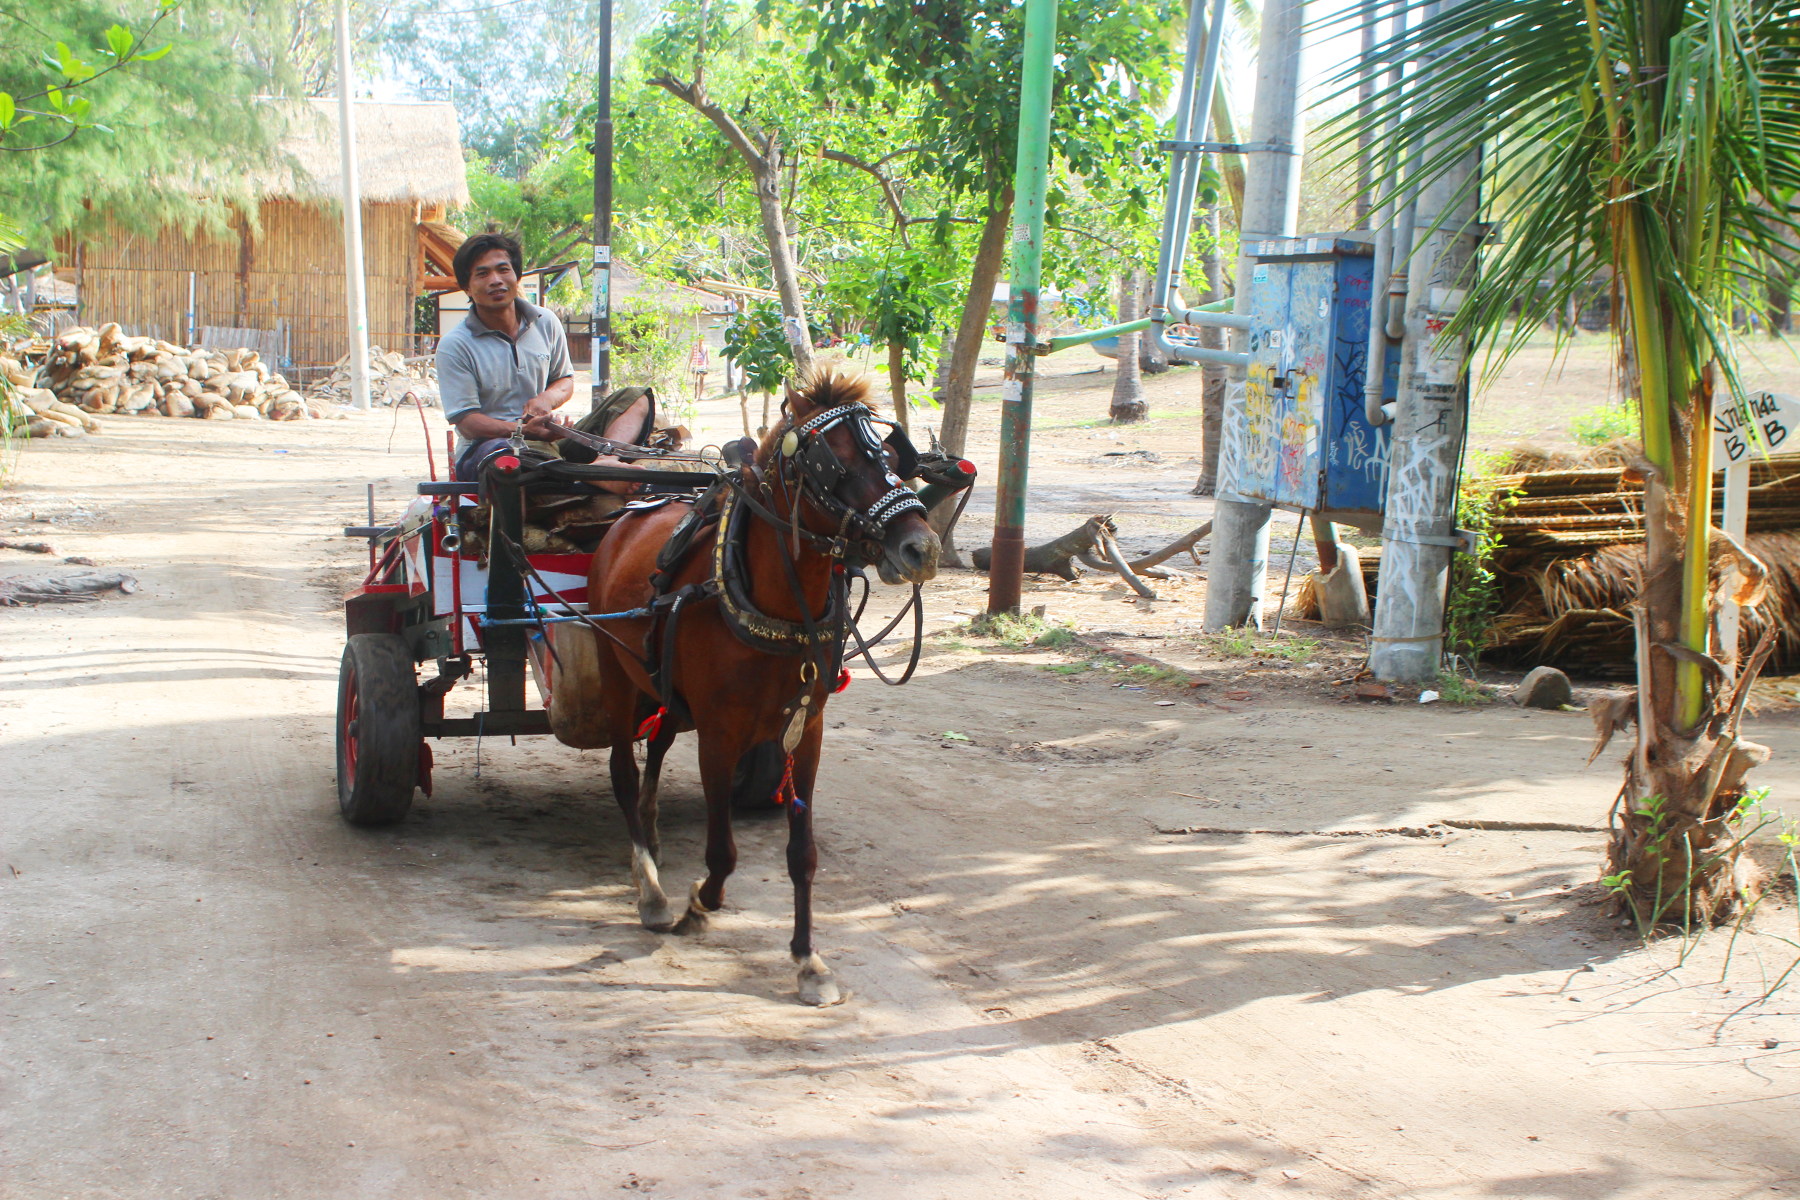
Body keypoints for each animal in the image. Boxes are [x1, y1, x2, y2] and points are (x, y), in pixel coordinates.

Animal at [572, 372, 943, 1007]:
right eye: (837, 462)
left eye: (895, 457)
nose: (921, 547)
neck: (772, 600)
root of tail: (632, 510)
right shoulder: (719, 735)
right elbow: (723, 852)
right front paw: (699, 905)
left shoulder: (806, 732)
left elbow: (803, 854)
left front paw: (808, 960)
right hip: (617, 675)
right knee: (623, 768)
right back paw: (650, 887)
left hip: (667, 689)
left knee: (658, 745)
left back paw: (651, 835)